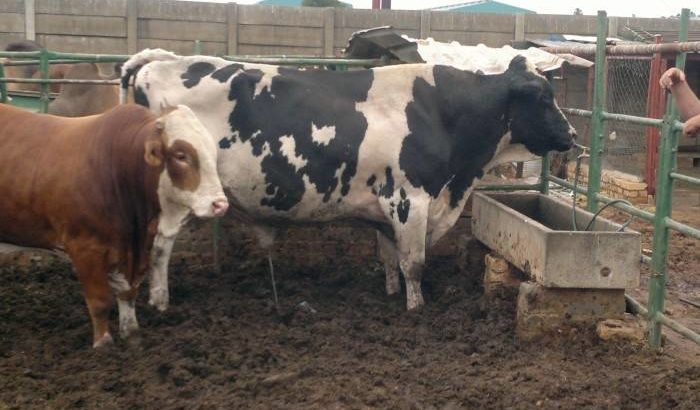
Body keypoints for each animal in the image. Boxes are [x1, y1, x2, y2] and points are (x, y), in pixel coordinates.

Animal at [0, 103, 229, 348]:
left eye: (212, 152)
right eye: (181, 155)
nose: (219, 204)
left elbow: (128, 293)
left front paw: (132, 334)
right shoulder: (84, 248)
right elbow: (100, 301)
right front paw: (104, 344)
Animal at [120, 49, 576, 311]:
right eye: (543, 97)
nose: (571, 134)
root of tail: (156, 61)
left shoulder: (385, 206)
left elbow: (390, 257)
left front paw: (391, 293)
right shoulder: (410, 199)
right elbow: (414, 263)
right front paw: (416, 308)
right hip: (173, 195)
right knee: (160, 245)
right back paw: (159, 301)